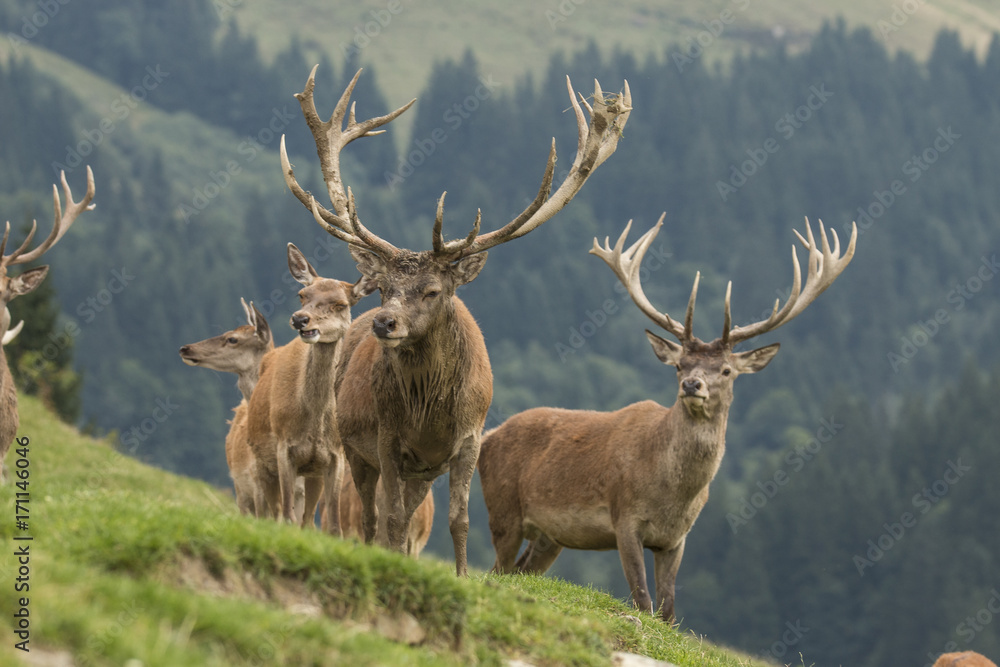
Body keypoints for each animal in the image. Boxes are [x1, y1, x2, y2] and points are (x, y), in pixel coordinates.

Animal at [278, 66, 631, 574]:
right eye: (383, 287)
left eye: (433, 290)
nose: (384, 323)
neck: (431, 417)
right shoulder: (387, 439)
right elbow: (391, 518)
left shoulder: (467, 442)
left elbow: (459, 521)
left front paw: (464, 576)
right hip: (353, 447)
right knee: (371, 516)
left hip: (423, 470)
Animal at [478, 214, 857, 621]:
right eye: (680, 365)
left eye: (726, 370)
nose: (692, 384)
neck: (672, 495)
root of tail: (488, 436)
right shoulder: (623, 517)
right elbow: (643, 600)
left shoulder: (677, 538)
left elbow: (669, 610)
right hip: (502, 508)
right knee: (496, 568)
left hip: (550, 537)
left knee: (518, 570)